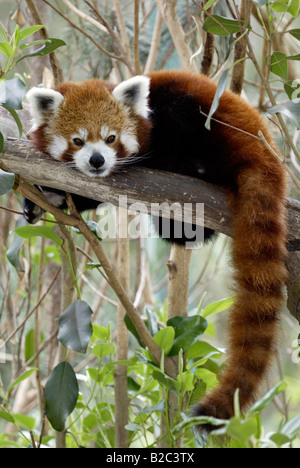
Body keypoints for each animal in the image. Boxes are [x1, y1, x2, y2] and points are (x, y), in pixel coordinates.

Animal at [24, 69, 288, 432]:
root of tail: (267, 148)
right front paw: (43, 198)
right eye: (77, 141)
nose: (97, 160)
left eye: (110, 138)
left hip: (215, 123)